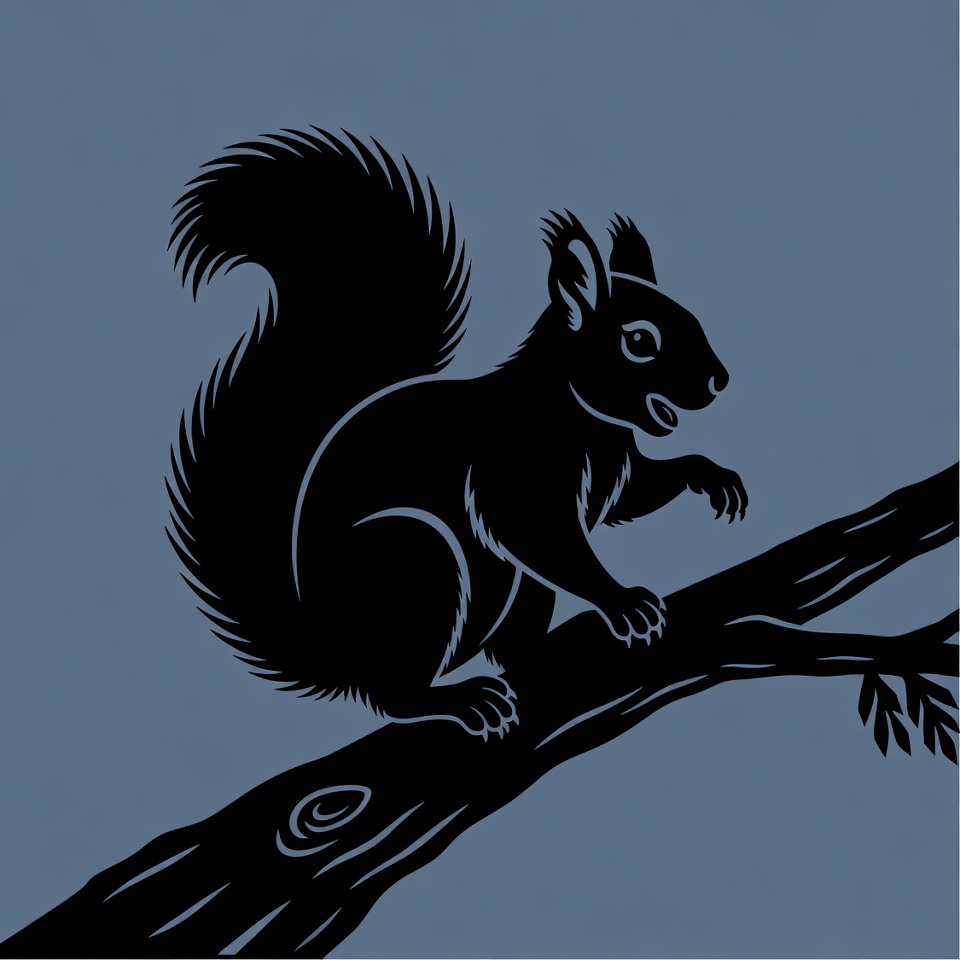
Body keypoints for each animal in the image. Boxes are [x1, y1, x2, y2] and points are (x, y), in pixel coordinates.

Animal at [167, 127, 747, 738]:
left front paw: (711, 476)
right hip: (412, 562)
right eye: (639, 341)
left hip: (515, 591)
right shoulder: (514, 473)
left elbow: (640, 493)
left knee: (506, 641)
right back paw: (464, 700)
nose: (719, 380)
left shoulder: (617, 475)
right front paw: (622, 601)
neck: (588, 421)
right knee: (391, 695)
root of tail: (325, 649)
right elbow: (546, 538)